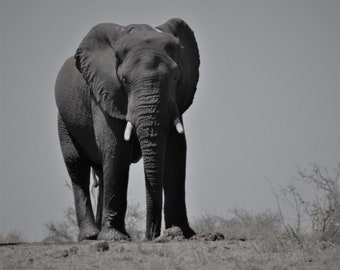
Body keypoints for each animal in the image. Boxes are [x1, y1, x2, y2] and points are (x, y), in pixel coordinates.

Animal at [55, 17, 199, 240]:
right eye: (124, 80)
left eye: (176, 77)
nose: (151, 236)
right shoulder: (104, 92)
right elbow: (115, 148)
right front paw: (115, 238)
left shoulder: (177, 99)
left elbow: (176, 150)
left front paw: (183, 234)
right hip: (64, 120)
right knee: (77, 166)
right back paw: (91, 236)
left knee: (101, 171)